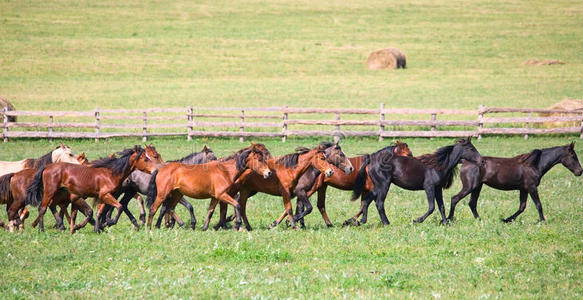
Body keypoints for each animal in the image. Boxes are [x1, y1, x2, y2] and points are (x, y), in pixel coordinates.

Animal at [25, 146, 160, 233]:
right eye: (146, 159)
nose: (155, 170)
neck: (110, 173)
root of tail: (47, 167)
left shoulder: (103, 197)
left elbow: (98, 212)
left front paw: (96, 228)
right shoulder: (106, 195)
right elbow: (119, 207)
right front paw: (108, 222)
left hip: (57, 194)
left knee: (51, 206)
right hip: (49, 192)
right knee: (42, 208)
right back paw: (41, 229)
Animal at [146, 143, 274, 230]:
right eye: (259, 159)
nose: (269, 173)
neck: (225, 171)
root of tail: (161, 169)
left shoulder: (215, 197)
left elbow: (211, 211)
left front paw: (205, 227)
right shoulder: (222, 195)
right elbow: (237, 205)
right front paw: (237, 223)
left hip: (177, 194)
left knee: (170, 208)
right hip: (163, 194)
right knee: (153, 209)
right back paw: (149, 228)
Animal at [208, 142, 354, 231]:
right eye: (341, 154)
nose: (350, 168)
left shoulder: (295, 193)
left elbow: (294, 209)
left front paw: (284, 223)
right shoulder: (297, 192)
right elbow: (301, 209)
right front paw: (291, 223)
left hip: (248, 190)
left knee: (239, 205)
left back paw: (242, 226)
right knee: (226, 203)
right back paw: (224, 224)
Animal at [352, 138, 484, 225]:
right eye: (470, 148)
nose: (482, 161)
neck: (438, 165)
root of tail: (371, 158)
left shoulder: (438, 188)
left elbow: (441, 206)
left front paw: (445, 222)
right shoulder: (429, 187)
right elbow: (431, 207)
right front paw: (417, 220)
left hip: (377, 186)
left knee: (367, 201)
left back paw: (360, 221)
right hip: (384, 185)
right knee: (379, 203)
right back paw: (386, 223)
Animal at [450, 143, 580, 223]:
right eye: (573, 156)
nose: (580, 171)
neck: (534, 164)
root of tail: (464, 161)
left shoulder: (524, 189)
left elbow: (522, 207)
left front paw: (506, 220)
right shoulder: (532, 187)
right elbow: (538, 205)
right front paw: (543, 221)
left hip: (477, 187)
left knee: (472, 203)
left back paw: (480, 220)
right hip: (470, 187)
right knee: (455, 198)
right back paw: (450, 219)